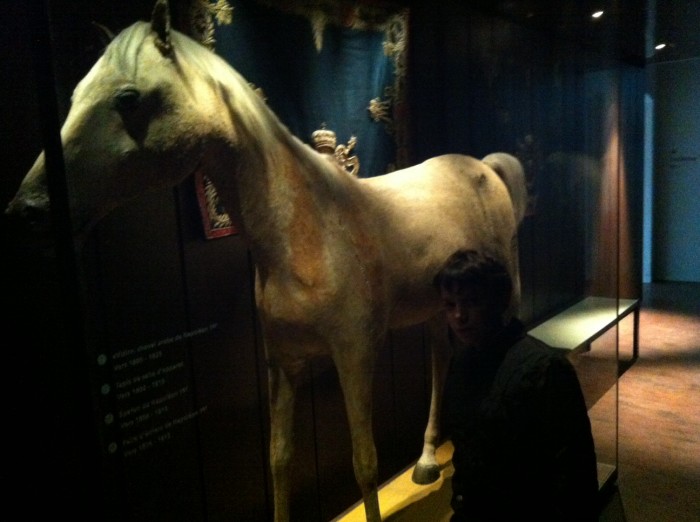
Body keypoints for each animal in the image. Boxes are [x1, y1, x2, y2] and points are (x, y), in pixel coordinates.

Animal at [8, 2, 524, 516]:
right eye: (75, 95)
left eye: (129, 96)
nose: (26, 211)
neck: (309, 233)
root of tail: (484, 167)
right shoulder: (282, 361)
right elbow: (279, 458)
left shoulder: (355, 354)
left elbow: (364, 462)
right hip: (435, 307)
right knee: (441, 358)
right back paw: (427, 460)